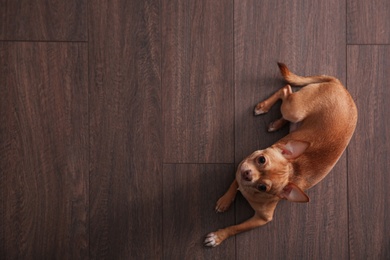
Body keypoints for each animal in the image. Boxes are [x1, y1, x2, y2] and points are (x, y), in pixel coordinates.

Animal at [206, 63, 358, 248]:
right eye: (261, 159)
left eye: (263, 187)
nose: (248, 174)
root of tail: (341, 86)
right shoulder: (242, 165)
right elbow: (233, 183)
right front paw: (225, 201)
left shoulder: (261, 219)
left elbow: (237, 228)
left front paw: (218, 236)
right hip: (295, 111)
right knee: (286, 89)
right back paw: (265, 109)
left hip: (294, 112)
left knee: (287, 92)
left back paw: (274, 122)